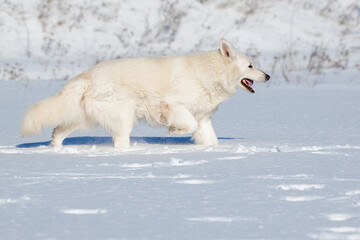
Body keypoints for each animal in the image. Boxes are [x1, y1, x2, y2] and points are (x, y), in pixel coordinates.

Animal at [19, 39, 268, 148]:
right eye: (250, 66)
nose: (267, 76)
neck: (210, 73)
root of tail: (86, 76)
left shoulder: (204, 118)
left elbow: (210, 139)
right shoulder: (174, 105)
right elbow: (188, 124)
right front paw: (174, 131)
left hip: (84, 118)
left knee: (58, 130)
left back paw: (56, 148)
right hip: (123, 116)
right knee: (120, 142)